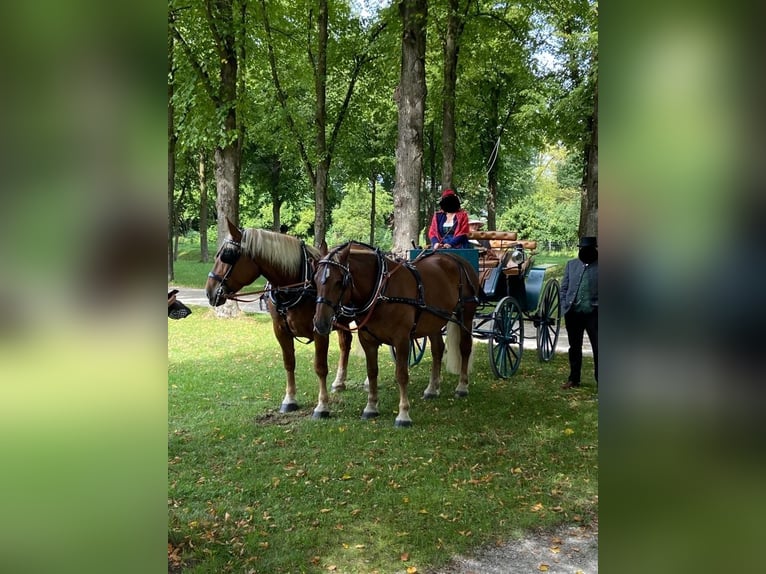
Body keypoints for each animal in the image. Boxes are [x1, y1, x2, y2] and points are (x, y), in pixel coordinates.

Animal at [207, 218, 356, 416]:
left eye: (226, 256)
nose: (209, 290)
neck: (296, 285)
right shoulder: (280, 330)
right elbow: (289, 363)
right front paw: (289, 399)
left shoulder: (320, 330)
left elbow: (320, 367)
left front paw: (322, 405)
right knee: (345, 343)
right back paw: (339, 382)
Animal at [312, 243, 480, 428]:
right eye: (315, 279)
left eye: (339, 282)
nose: (320, 323)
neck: (381, 290)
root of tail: (454, 257)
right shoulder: (368, 341)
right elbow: (372, 372)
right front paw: (371, 407)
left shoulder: (402, 340)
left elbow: (402, 375)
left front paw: (403, 414)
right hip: (434, 321)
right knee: (437, 350)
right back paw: (432, 388)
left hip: (466, 315)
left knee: (465, 348)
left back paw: (462, 386)